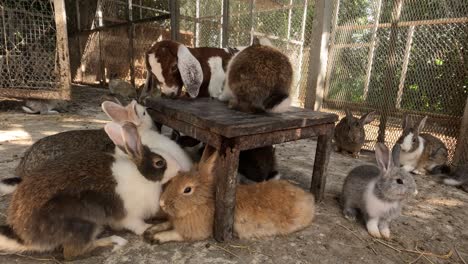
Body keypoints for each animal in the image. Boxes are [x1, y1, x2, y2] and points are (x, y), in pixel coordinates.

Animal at [0, 121, 192, 260]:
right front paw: (150, 227)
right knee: (72, 253)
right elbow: (138, 226)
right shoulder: (129, 216)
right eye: (159, 163)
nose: (179, 169)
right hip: (84, 224)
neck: (142, 177)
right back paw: (115, 241)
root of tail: (24, 235)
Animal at [141, 146, 312, 243]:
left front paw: (157, 238)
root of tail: (308, 198)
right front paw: (150, 230)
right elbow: (166, 224)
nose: (162, 203)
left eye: (187, 190)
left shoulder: (197, 231)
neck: (203, 202)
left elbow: (176, 234)